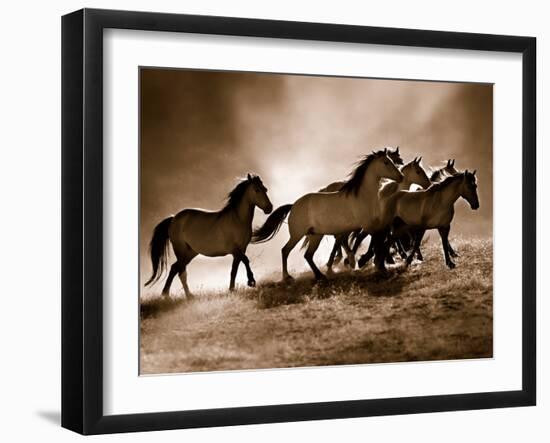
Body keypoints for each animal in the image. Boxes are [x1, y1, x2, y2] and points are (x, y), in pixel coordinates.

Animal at [254, 149, 406, 280]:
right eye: (386, 162)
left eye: (391, 160)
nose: (401, 176)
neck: (363, 196)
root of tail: (293, 205)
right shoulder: (367, 226)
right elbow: (376, 241)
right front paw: (372, 263)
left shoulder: (369, 225)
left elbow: (378, 239)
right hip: (297, 234)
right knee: (285, 251)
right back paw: (287, 277)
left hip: (315, 236)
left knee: (308, 255)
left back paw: (320, 276)